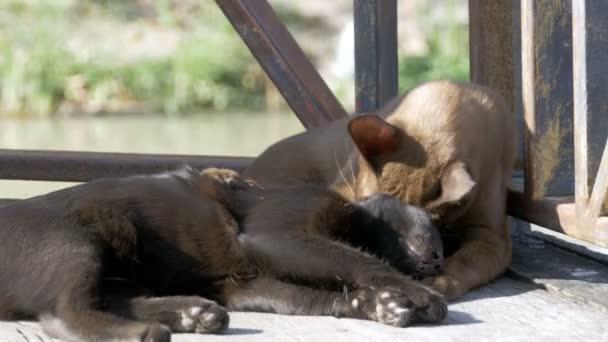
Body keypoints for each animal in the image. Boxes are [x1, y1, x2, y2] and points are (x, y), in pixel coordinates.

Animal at [0, 167, 446, 340]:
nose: (439, 260)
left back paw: (194, 314)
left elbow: (314, 298)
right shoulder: (275, 236)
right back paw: (147, 333)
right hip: (75, 244)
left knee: (111, 301)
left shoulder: (244, 283)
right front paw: (421, 297)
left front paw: (379, 305)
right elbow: (359, 260)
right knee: (62, 315)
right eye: (439, 236)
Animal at [245, 80, 516, 300]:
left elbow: (465, 261)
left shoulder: (489, 237)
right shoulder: (344, 193)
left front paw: (438, 281)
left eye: (427, 223)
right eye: (368, 207)